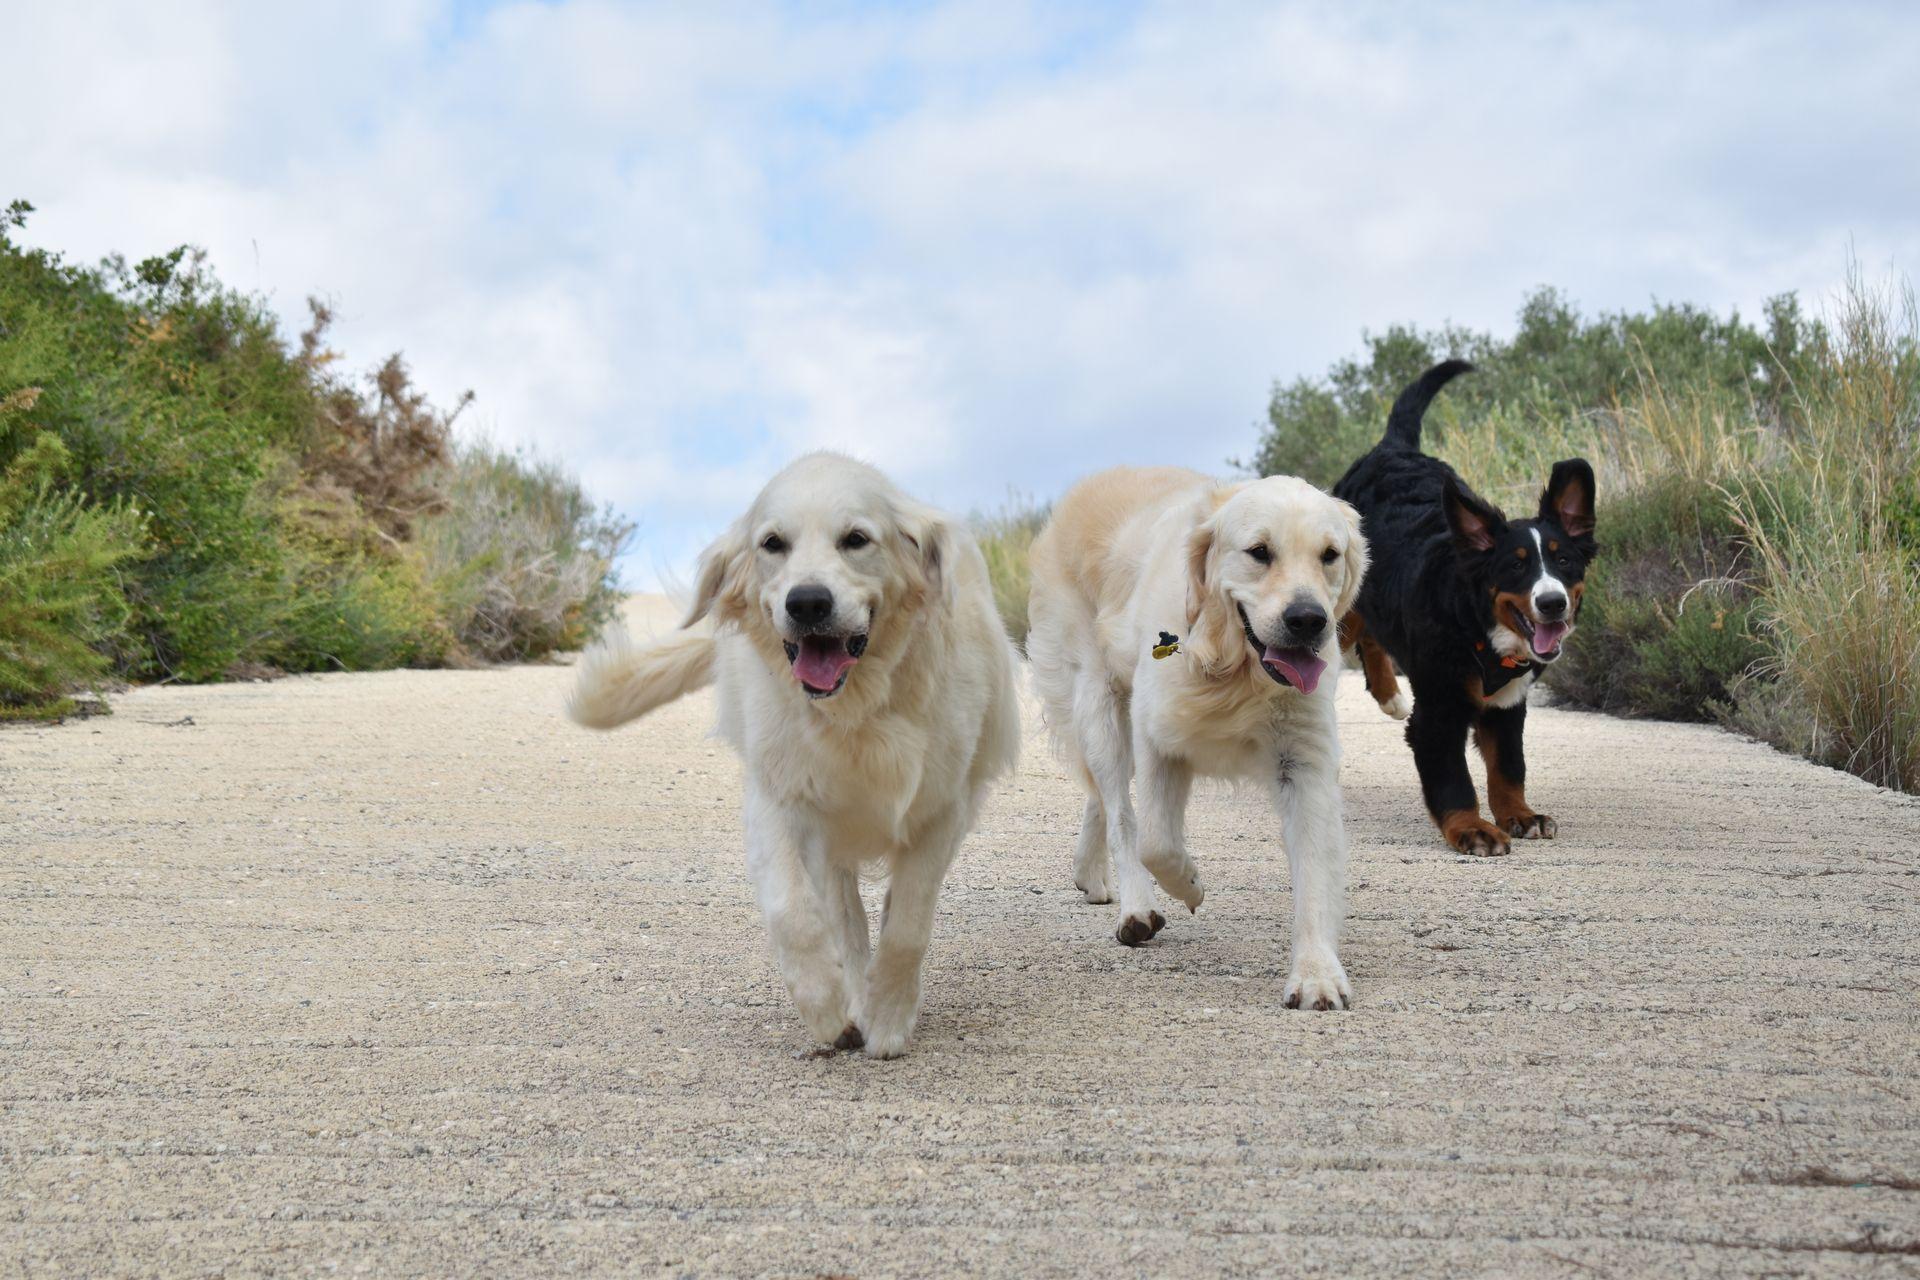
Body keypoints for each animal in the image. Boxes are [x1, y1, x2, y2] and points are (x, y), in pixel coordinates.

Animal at [1328, 360, 1597, 855]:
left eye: (1564, 560)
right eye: (1515, 566)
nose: (1552, 603)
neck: (1477, 628)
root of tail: (1394, 447)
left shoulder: (1508, 705)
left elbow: (1508, 767)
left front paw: (1520, 815)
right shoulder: (1438, 711)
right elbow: (1454, 781)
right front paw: (1473, 829)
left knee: (1373, 635)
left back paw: (1389, 693)